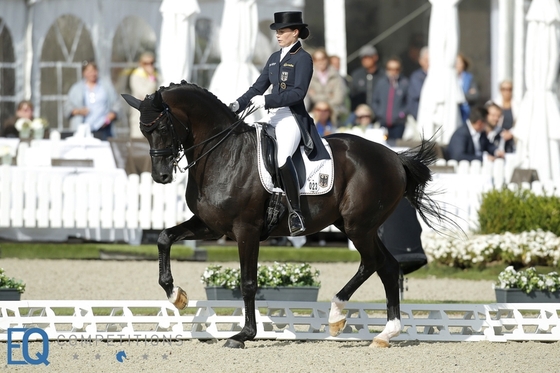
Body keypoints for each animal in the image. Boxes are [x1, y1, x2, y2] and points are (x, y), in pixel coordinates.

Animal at [123, 80, 446, 348]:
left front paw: (243, 335)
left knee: (372, 263)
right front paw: (175, 294)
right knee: (387, 267)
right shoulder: (210, 226)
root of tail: (393, 156)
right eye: (143, 131)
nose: (161, 176)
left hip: (359, 227)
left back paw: (337, 314)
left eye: (162, 128)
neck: (223, 154)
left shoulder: (246, 230)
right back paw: (384, 333)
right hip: (355, 226)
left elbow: (248, 283)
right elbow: (164, 237)